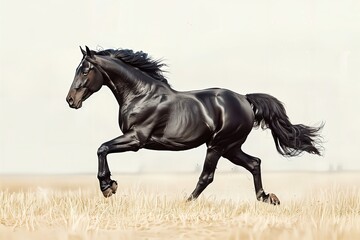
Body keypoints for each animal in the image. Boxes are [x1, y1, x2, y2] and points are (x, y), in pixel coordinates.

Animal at [66, 46, 322, 203]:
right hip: (231, 148)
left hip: (218, 145)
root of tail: (245, 99)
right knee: (254, 163)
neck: (141, 95)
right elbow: (103, 149)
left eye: (85, 70)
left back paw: (186, 202)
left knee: (207, 176)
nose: (70, 100)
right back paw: (266, 198)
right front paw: (110, 185)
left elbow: (102, 148)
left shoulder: (137, 138)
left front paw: (108, 187)